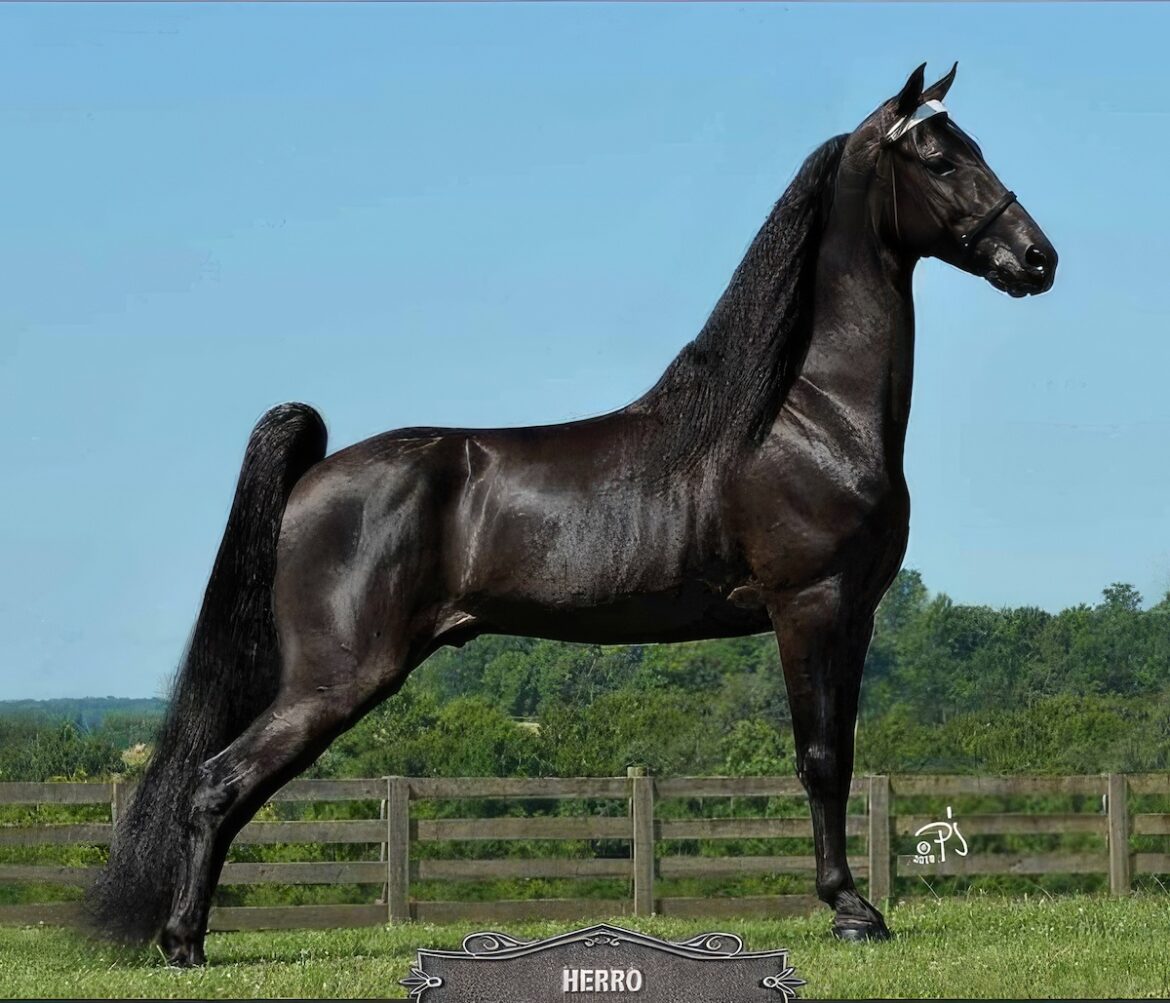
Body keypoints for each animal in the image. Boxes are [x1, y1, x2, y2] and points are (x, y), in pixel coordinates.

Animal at [86, 63, 1056, 964]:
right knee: (217, 783)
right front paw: (853, 911)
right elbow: (819, 760)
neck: (804, 412)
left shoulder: (853, 615)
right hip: (335, 678)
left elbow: (842, 758)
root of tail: (314, 476)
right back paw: (181, 942)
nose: (1037, 258)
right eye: (939, 156)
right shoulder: (808, 606)